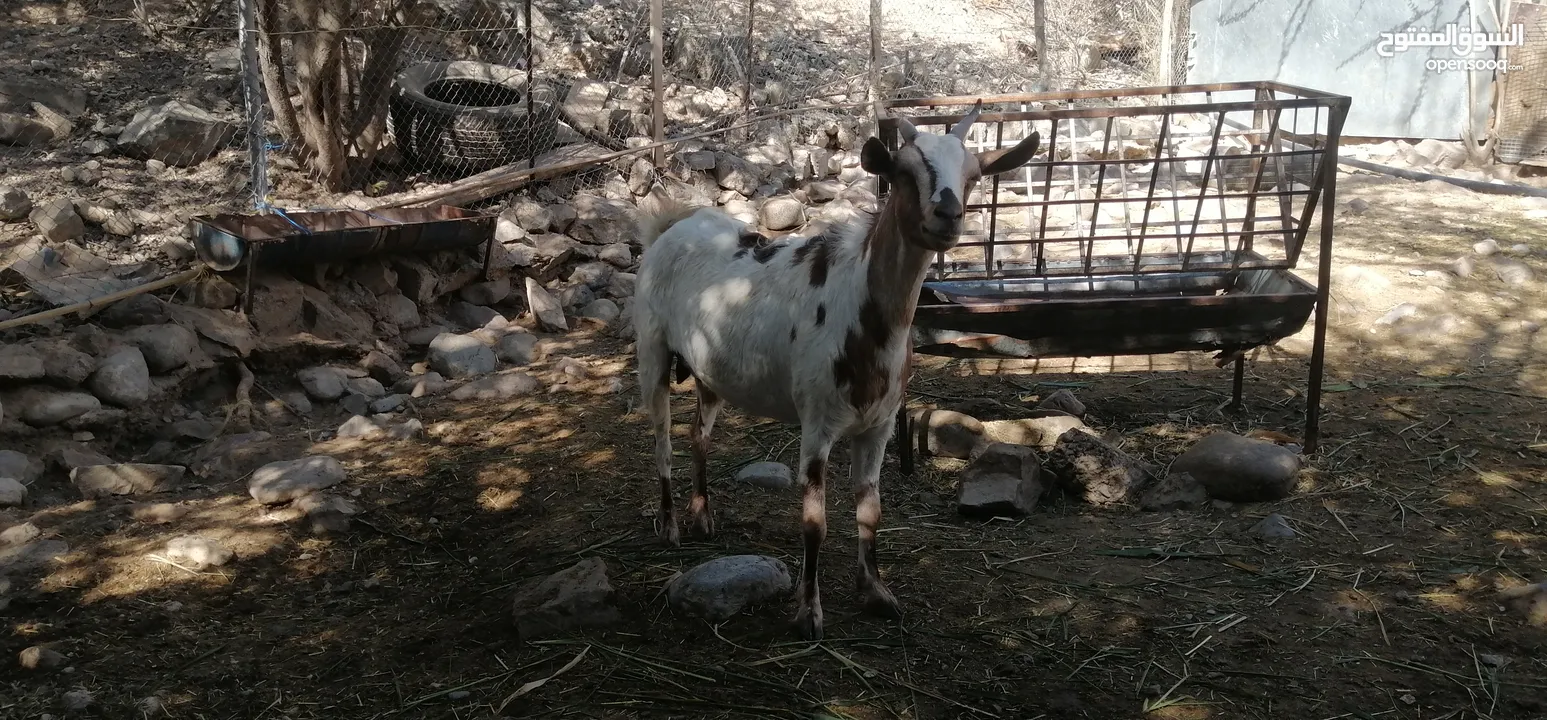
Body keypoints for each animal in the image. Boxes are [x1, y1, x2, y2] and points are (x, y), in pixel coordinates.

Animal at [634, 102, 1045, 641]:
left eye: (974, 174)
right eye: (902, 172)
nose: (948, 215)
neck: (863, 314)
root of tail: (670, 227)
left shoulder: (878, 425)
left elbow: (871, 509)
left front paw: (876, 593)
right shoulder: (818, 422)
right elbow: (815, 521)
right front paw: (808, 613)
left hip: (709, 369)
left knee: (698, 434)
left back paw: (702, 516)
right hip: (652, 347)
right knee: (660, 438)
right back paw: (671, 527)